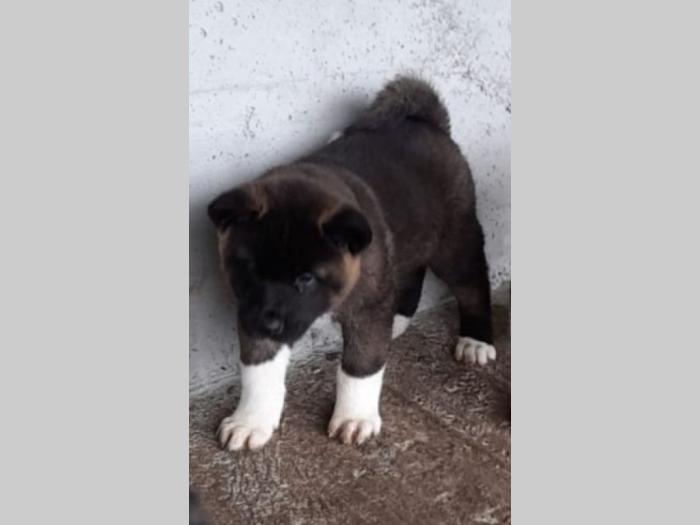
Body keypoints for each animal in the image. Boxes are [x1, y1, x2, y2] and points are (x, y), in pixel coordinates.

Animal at [207, 76, 496, 451]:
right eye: (249, 269)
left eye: (306, 278)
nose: (267, 324)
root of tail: (428, 123)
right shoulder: (251, 312)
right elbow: (258, 371)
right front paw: (250, 420)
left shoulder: (365, 307)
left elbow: (360, 367)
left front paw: (355, 417)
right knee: (410, 274)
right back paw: (397, 323)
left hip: (454, 243)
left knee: (472, 283)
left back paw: (476, 340)